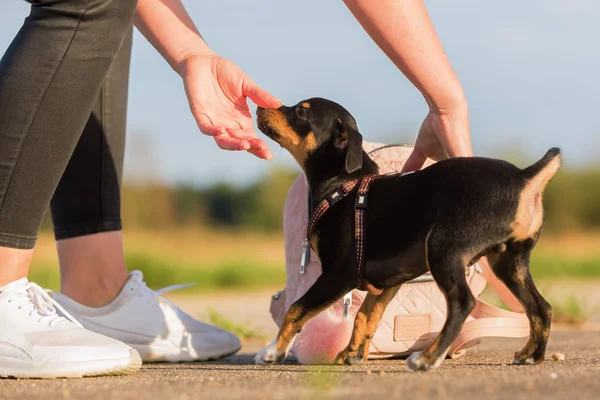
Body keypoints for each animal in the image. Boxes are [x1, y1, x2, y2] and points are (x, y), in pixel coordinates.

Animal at [254, 97, 564, 372]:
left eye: (301, 112)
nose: (258, 107)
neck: (344, 185)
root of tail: (524, 177)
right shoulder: (389, 280)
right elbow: (365, 316)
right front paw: (351, 354)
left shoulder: (339, 275)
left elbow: (295, 309)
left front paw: (272, 351)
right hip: (510, 262)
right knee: (542, 307)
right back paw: (531, 355)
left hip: (444, 250)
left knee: (463, 303)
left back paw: (427, 358)